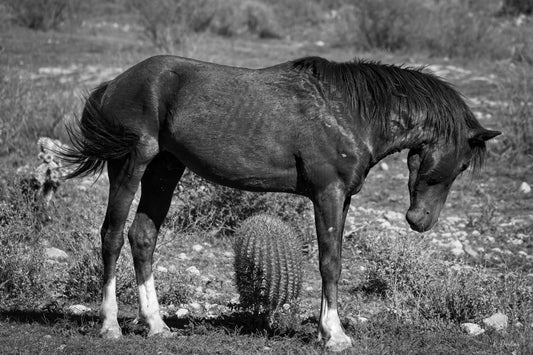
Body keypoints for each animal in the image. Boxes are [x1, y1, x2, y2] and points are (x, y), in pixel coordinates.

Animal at [60, 57, 500, 352]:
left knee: (143, 236)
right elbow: (330, 262)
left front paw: (326, 329)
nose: (420, 221)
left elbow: (333, 259)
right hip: (130, 164)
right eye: (463, 163)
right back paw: (110, 326)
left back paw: (155, 324)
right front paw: (334, 335)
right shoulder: (327, 194)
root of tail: (115, 83)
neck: (349, 111)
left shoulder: (343, 199)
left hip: (164, 169)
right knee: (112, 236)